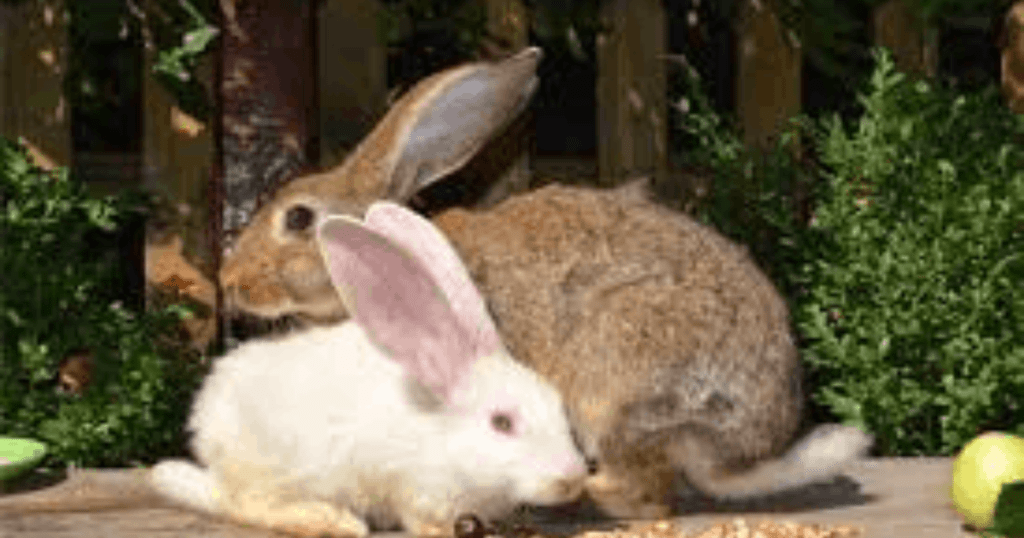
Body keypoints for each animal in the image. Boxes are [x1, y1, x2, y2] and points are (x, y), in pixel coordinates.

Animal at [150, 200, 589, 537]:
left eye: (560, 407)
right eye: (502, 423)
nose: (572, 479)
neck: (439, 431)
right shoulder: (410, 483)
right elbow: (418, 516)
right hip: (275, 469)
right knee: (243, 504)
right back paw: (331, 520)